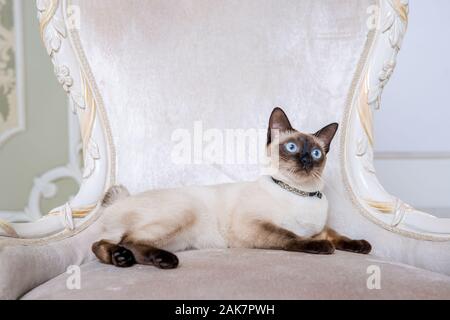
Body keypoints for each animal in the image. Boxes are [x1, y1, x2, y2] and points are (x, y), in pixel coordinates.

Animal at [92, 107, 372, 268]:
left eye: (315, 153)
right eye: (291, 147)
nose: (304, 160)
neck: (300, 193)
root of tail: (119, 201)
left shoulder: (319, 227)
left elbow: (338, 235)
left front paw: (361, 245)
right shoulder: (254, 227)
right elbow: (292, 237)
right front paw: (322, 247)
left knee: (103, 242)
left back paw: (119, 258)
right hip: (184, 212)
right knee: (129, 240)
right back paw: (160, 260)